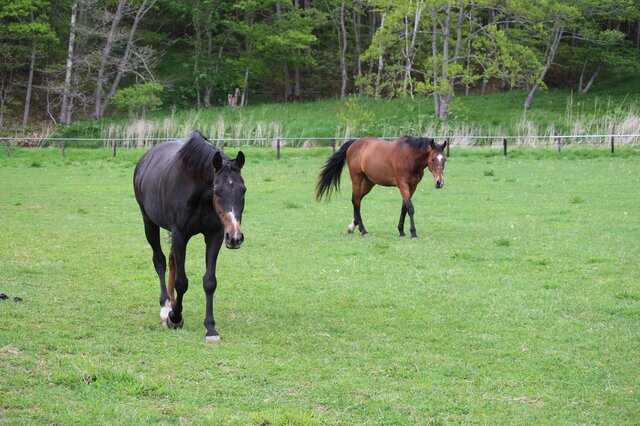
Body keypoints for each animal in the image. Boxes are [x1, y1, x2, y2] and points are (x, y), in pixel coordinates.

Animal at [133, 130, 246, 341]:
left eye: (243, 190)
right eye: (216, 190)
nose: (235, 237)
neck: (199, 194)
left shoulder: (215, 235)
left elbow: (209, 282)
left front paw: (210, 328)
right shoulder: (180, 235)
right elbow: (181, 282)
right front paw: (175, 317)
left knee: (171, 261)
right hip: (149, 222)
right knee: (160, 260)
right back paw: (165, 307)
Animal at [316, 136, 447, 239]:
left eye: (444, 159)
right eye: (433, 159)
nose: (439, 182)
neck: (410, 157)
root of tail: (354, 143)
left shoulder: (412, 186)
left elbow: (404, 207)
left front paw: (401, 230)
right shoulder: (402, 185)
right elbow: (410, 208)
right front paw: (413, 233)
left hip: (369, 182)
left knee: (358, 200)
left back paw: (353, 226)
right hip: (357, 178)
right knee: (356, 201)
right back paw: (363, 230)